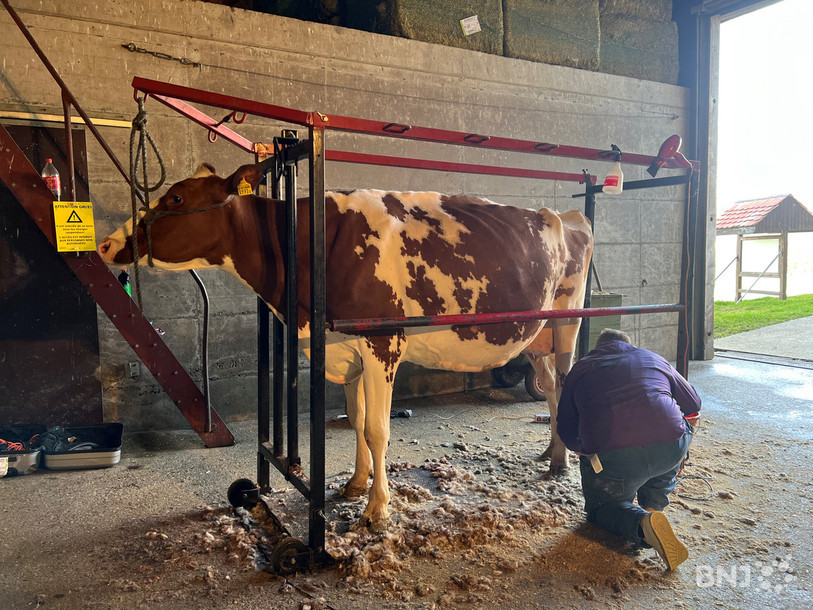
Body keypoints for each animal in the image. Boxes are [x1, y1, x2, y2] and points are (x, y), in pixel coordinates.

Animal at [98, 163, 593, 528]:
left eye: (177, 198)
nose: (106, 243)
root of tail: (565, 216)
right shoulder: (345, 346)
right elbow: (355, 420)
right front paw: (356, 484)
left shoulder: (380, 343)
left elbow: (378, 429)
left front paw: (377, 508)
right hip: (536, 334)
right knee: (549, 383)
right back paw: (551, 454)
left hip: (567, 320)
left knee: (565, 380)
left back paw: (563, 460)